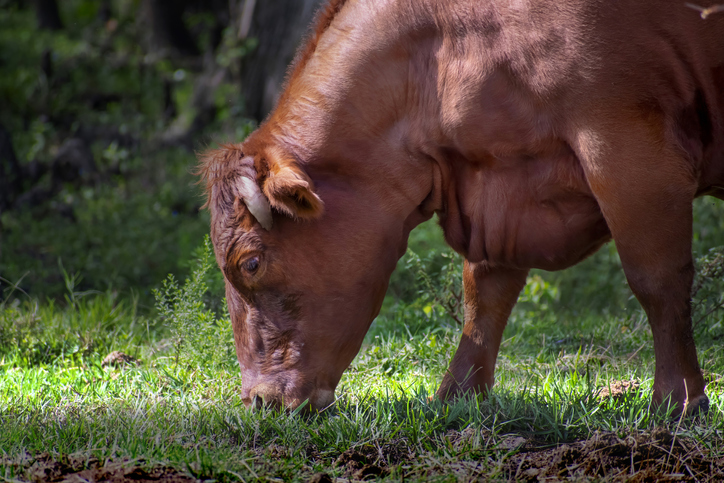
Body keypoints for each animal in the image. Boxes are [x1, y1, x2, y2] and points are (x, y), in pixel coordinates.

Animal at [200, 0, 724, 415]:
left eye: (250, 263)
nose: (259, 400)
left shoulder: (629, 148)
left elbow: (657, 280)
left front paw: (678, 399)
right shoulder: (501, 191)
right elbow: (484, 295)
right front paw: (458, 394)